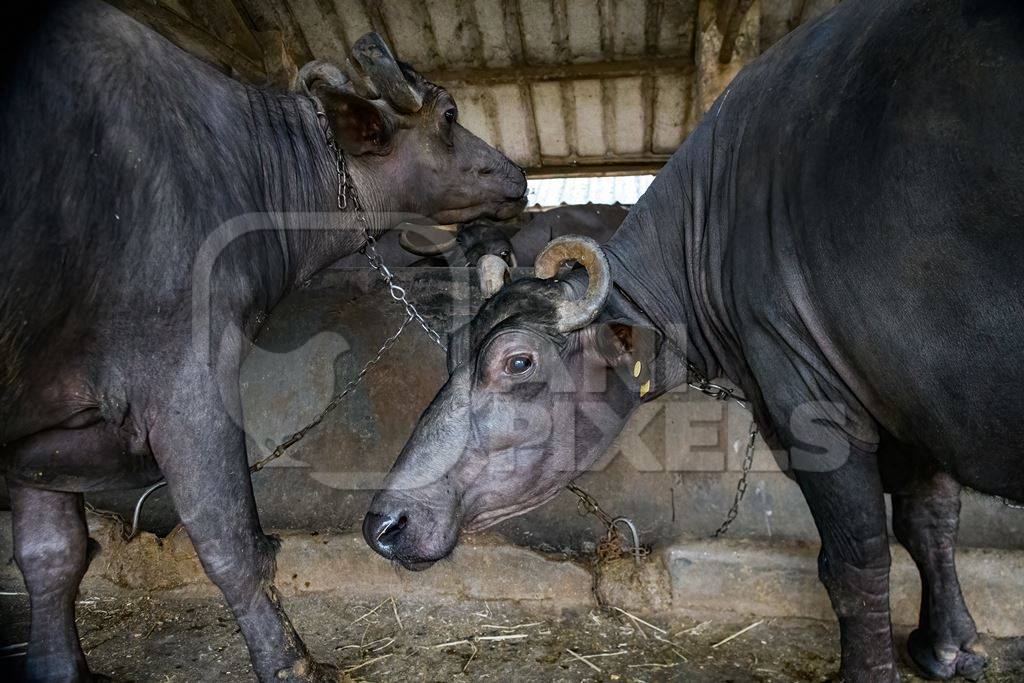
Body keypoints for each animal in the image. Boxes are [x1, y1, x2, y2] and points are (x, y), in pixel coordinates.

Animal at [0, 1, 524, 683]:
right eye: (451, 115)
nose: (516, 173)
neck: (247, 170)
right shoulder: (187, 385)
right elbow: (232, 543)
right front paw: (289, 662)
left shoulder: (46, 417)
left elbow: (50, 553)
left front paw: (61, 667)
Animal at [366, 2, 1024, 679]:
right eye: (451, 353)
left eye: (518, 361)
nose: (383, 523)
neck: (717, 231)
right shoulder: (915, 410)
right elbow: (930, 523)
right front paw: (949, 644)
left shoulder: (819, 411)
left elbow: (855, 562)